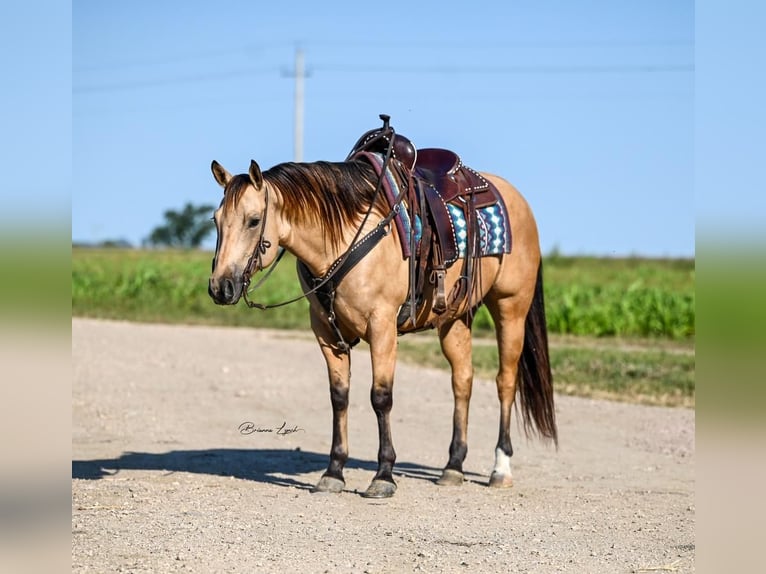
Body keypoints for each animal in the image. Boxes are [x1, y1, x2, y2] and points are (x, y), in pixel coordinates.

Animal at [210, 115, 560, 498]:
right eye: (215, 220)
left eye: (254, 220)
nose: (221, 287)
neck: (346, 236)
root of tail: (513, 198)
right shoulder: (325, 331)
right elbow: (339, 397)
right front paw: (333, 472)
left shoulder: (382, 326)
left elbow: (381, 397)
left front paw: (383, 476)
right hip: (454, 319)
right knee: (463, 380)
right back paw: (453, 466)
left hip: (510, 307)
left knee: (505, 381)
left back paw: (500, 468)